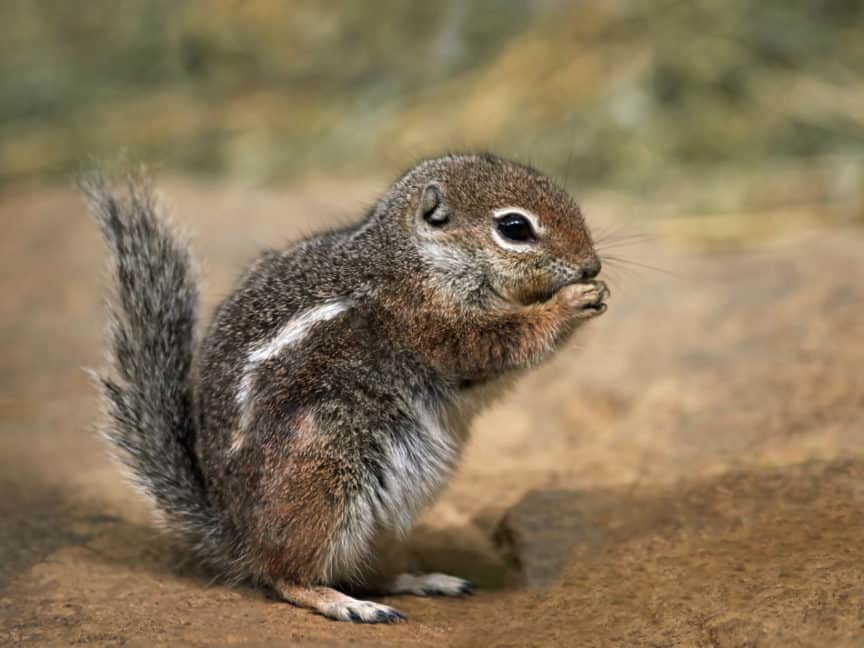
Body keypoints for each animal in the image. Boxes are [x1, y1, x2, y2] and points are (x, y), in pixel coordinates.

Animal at [84, 153, 608, 624]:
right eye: (515, 228)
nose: (590, 265)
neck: (418, 259)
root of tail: (235, 533)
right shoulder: (430, 321)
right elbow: (499, 345)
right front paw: (571, 302)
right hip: (324, 480)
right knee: (283, 574)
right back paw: (344, 603)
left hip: (380, 517)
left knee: (362, 571)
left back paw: (422, 580)